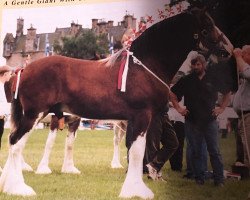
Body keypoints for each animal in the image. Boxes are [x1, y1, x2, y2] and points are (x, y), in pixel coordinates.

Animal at [0, 7, 233, 198]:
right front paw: (136, 191)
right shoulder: (141, 116)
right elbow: (138, 152)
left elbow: (134, 150)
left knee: (14, 142)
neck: (145, 66)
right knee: (15, 142)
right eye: (207, 27)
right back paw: (19, 188)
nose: (227, 51)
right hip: (34, 115)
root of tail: (23, 70)